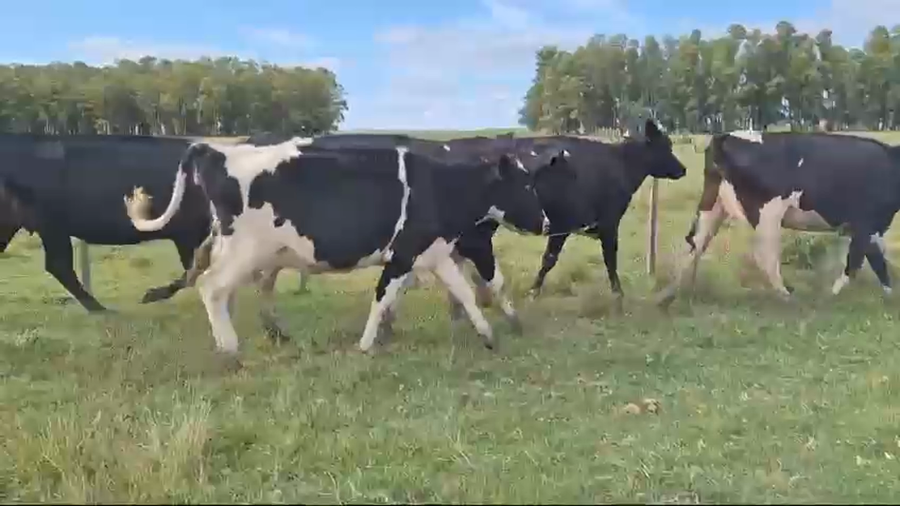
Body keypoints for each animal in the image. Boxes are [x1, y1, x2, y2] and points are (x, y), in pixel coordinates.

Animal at [123, 138, 549, 362]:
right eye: (525, 186)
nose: (546, 223)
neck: (441, 186)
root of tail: (216, 150)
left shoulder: (434, 253)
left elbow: (464, 292)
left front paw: (488, 334)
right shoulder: (403, 255)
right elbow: (382, 297)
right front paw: (366, 344)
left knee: (222, 291)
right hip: (247, 250)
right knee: (212, 287)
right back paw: (230, 348)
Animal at [513, 119, 689, 310]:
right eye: (664, 147)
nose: (683, 169)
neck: (620, 166)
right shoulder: (591, 224)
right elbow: (606, 259)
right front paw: (618, 296)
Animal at [655, 130, 900, 308]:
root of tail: (723, 137)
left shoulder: (873, 227)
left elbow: (876, 261)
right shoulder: (865, 224)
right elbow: (860, 261)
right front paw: (833, 296)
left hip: (712, 206)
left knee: (694, 243)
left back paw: (672, 294)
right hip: (768, 214)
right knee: (766, 256)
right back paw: (787, 296)